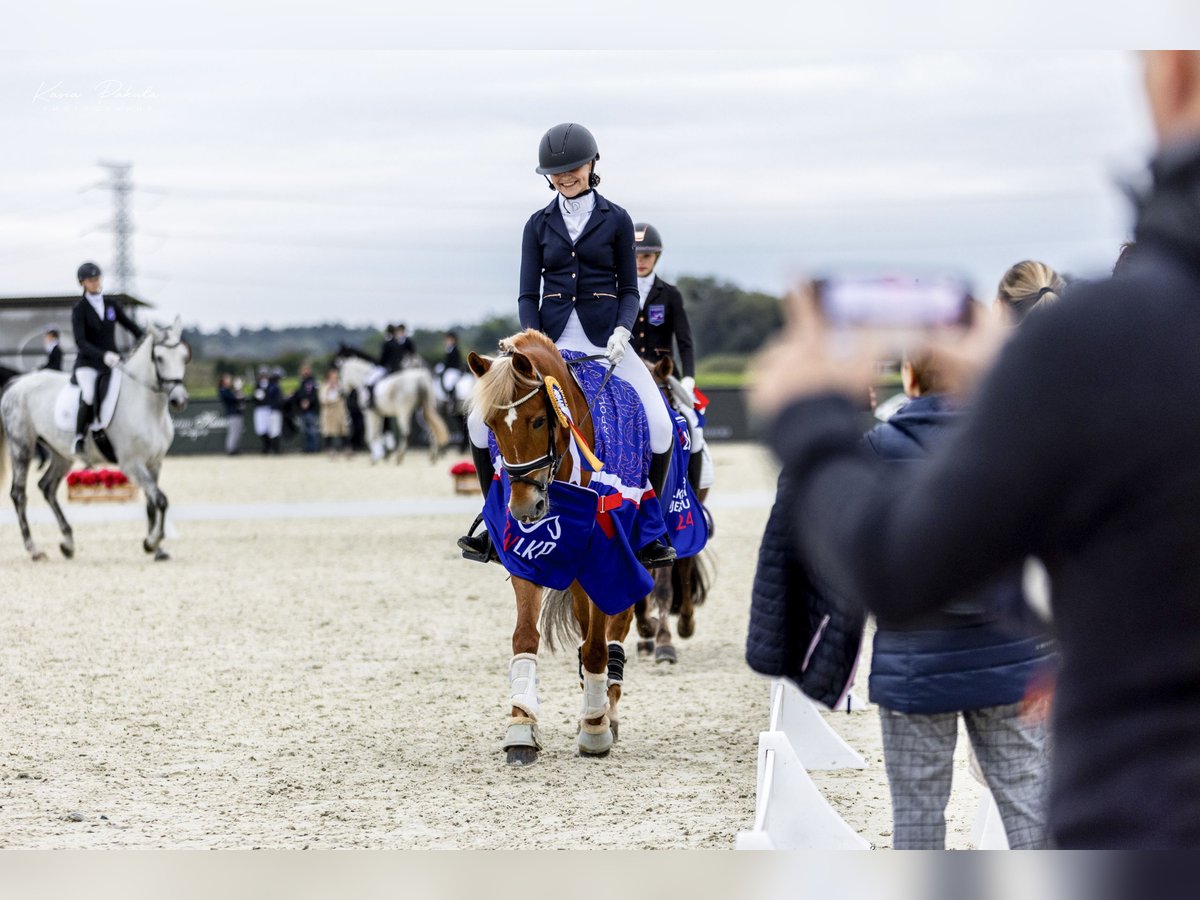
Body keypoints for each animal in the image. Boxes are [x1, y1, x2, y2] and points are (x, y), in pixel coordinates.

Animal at [0, 314, 189, 561]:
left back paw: (67, 543)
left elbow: (152, 503)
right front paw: (152, 542)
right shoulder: (132, 464)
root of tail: (16, 384)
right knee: (19, 494)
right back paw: (34, 549)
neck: (148, 407)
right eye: (159, 357)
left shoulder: (154, 463)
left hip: (61, 454)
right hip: (21, 446)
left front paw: (156, 549)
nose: (179, 400)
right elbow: (161, 500)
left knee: (47, 487)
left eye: (184, 357)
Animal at [468, 331, 638, 768]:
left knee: (614, 632)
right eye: (490, 425)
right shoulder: (527, 554)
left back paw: (607, 711)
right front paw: (521, 728)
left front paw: (594, 729)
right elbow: (525, 637)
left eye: (539, 420)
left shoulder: (604, 562)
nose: (524, 509)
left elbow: (596, 648)